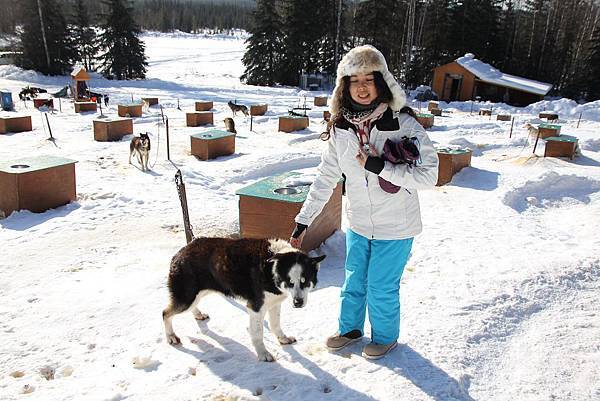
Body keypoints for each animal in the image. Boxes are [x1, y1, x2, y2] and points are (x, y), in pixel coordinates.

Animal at [162, 236, 326, 360]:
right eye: (290, 282)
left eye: (305, 281)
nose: (298, 303)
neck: (271, 268)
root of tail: (181, 252)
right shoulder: (256, 308)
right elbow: (258, 334)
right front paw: (263, 354)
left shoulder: (274, 303)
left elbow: (275, 325)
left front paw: (282, 339)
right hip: (186, 297)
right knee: (165, 313)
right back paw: (171, 336)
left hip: (197, 293)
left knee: (190, 306)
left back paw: (198, 314)